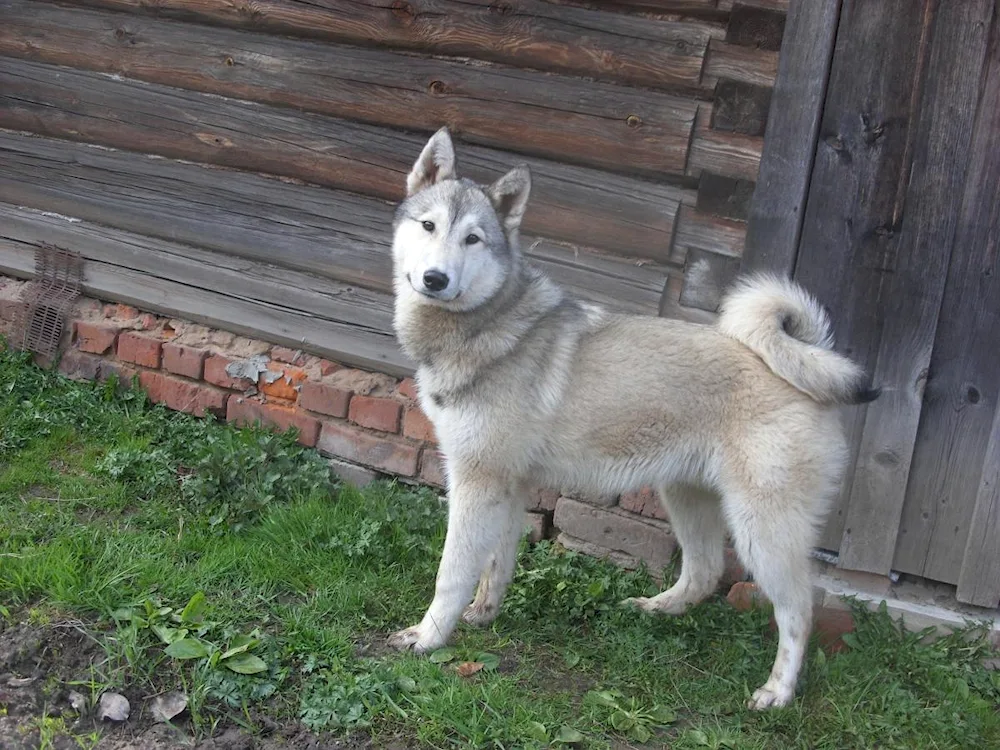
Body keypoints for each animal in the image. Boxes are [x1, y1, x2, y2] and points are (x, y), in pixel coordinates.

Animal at [386, 129, 880, 712]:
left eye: (474, 240)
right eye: (428, 226)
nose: (435, 279)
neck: (486, 326)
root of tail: (806, 363)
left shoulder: (476, 482)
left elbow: (452, 573)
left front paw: (429, 636)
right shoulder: (508, 486)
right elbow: (495, 566)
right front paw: (482, 616)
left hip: (762, 529)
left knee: (799, 609)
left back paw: (777, 691)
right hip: (687, 496)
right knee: (705, 572)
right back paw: (657, 609)